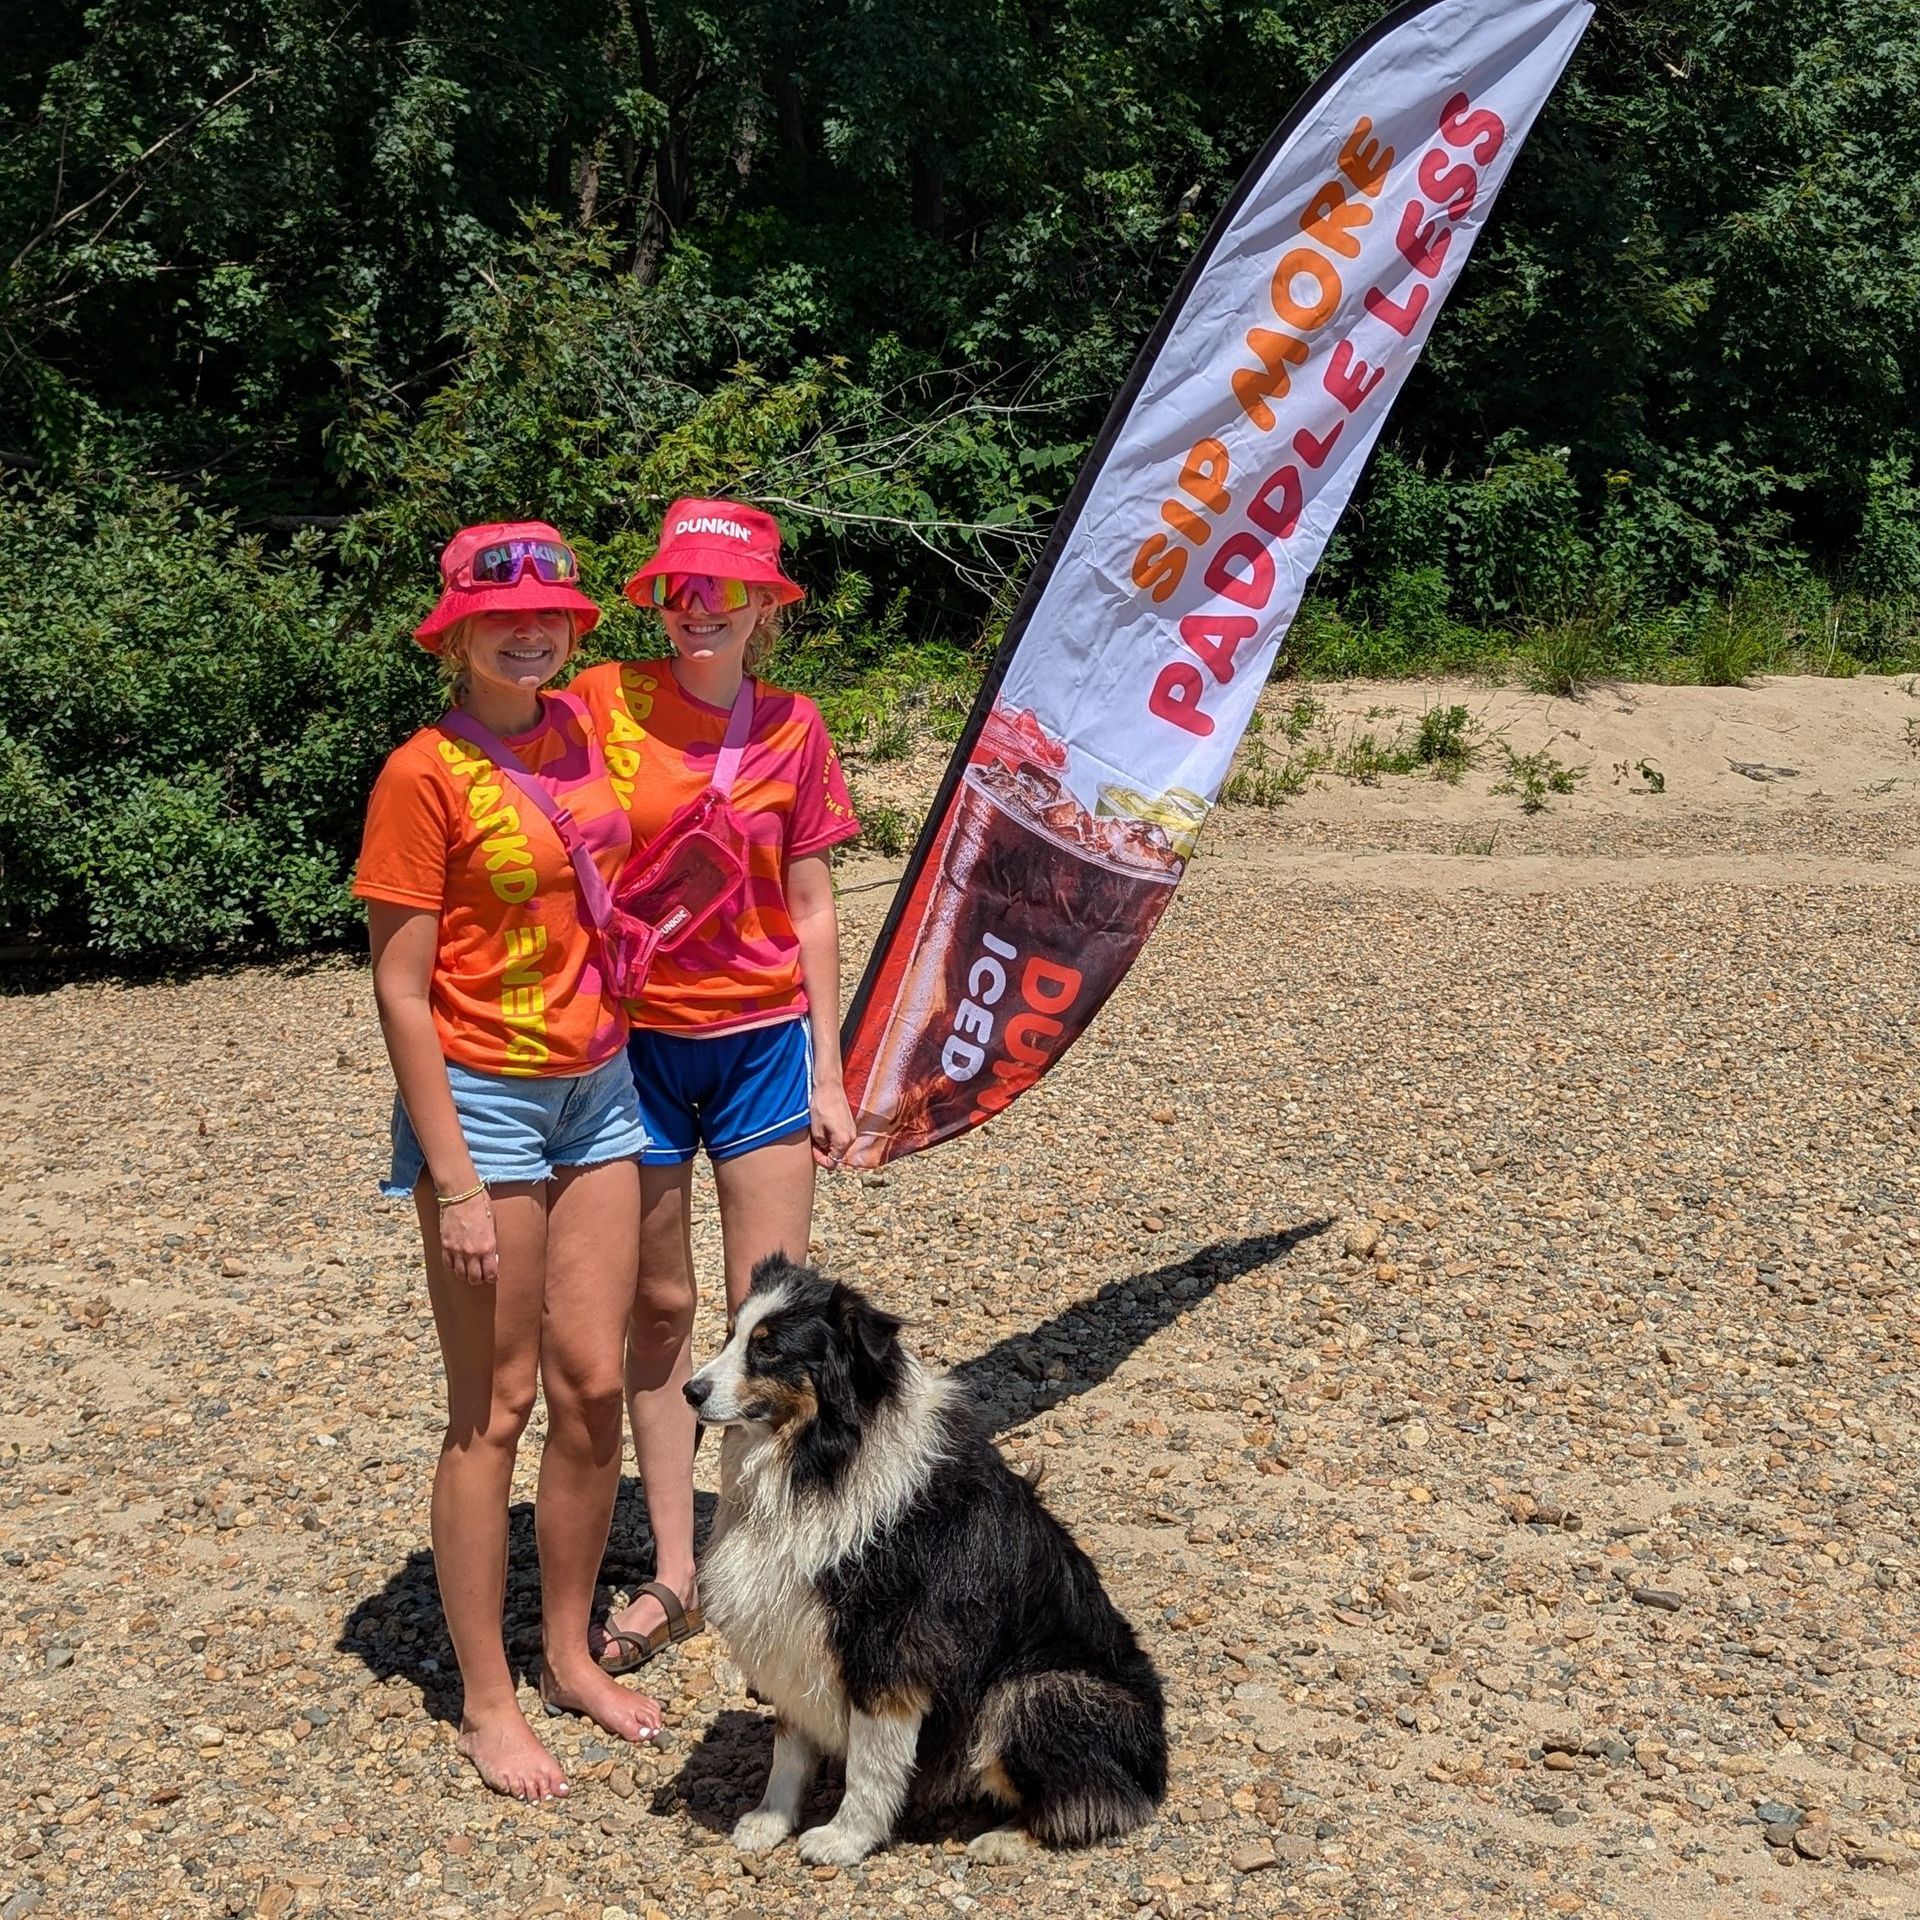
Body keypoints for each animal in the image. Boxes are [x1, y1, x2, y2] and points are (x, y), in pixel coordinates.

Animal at [691, 1251, 1167, 1866]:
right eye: (731, 1335)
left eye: (768, 1349)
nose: (689, 1391)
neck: (819, 1461)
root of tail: (1154, 1770)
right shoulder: (790, 1628)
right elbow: (788, 1747)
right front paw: (770, 1821)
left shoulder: (891, 1646)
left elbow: (871, 1765)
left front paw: (845, 1839)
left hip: (1034, 1690)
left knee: (1088, 1800)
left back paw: (1002, 1840)